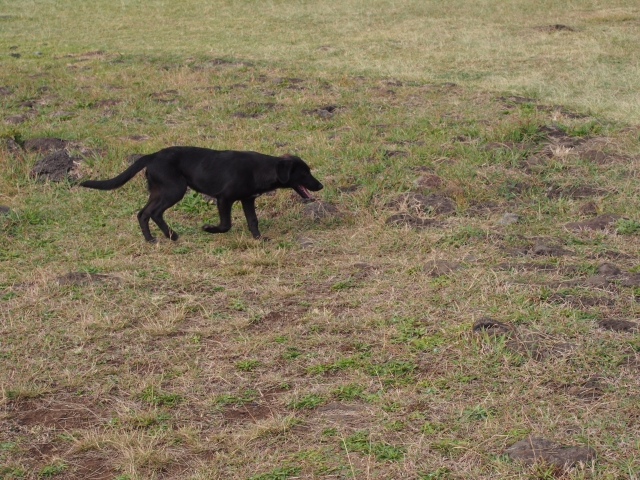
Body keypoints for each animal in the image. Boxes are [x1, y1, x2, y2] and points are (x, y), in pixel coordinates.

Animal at [81, 146, 324, 242]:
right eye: (305, 173)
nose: (320, 186)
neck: (260, 169)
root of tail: (151, 156)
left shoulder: (247, 199)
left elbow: (253, 221)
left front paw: (259, 238)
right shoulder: (224, 198)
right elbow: (226, 224)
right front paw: (209, 229)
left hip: (160, 191)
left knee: (143, 213)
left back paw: (154, 239)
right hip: (174, 189)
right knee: (155, 213)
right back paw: (170, 236)